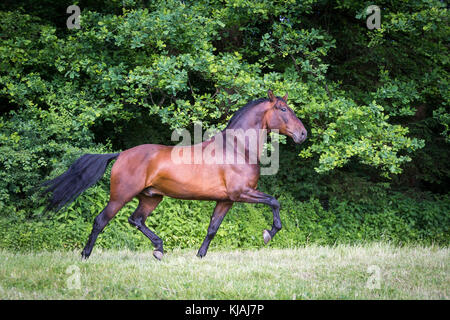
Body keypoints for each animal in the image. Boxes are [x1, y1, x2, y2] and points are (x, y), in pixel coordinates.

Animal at [43, 89, 306, 258]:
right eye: (283, 109)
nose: (303, 134)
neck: (238, 149)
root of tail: (121, 154)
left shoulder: (226, 200)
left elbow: (212, 228)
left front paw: (199, 256)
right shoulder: (243, 192)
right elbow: (274, 202)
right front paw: (268, 234)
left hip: (151, 197)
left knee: (136, 220)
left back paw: (159, 249)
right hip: (120, 196)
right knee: (101, 221)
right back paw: (85, 255)